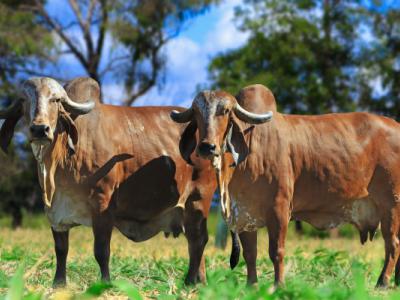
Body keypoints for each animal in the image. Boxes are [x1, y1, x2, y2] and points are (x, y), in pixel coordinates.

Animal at [0, 76, 222, 288]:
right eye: (24, 100)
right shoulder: (56, 214)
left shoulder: (102, 207)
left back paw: (190, 281)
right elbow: (61, 250)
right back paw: (200, 281)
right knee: (194, 243)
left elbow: (101, 251)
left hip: (198, 200)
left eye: (55, 100)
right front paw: (58, 284)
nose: (39, 129)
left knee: (198, 240)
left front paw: (105, 283)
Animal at [171, 84, 400, 288]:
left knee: (393, 244)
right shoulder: (244, 213)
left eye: (225, 111)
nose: (206, 147)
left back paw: (383, 282)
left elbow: (276, 251)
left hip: (391, 205)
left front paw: (279, 285)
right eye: (196, 113)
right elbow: (250, 253)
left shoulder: (279, 209)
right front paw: (252, 286)